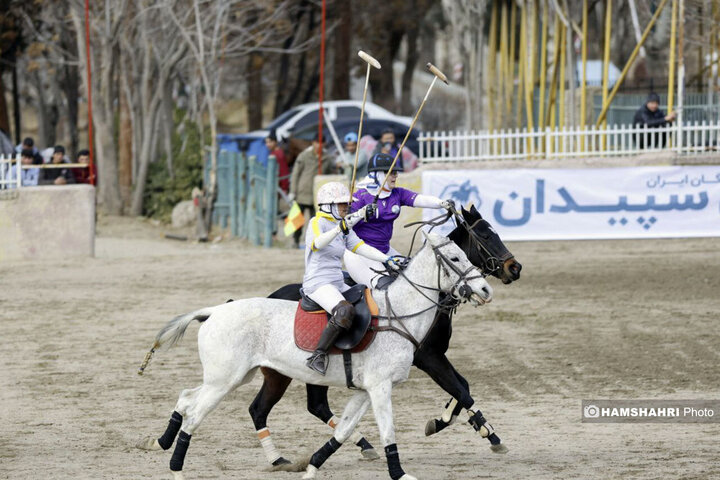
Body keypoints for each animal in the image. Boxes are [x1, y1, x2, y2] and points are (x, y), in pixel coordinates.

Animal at [138, 231, 492, 478]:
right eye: (455, 258)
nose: (486, 290)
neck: (398, 314)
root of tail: (214, 310)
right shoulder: (381, 386)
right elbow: (388, 431)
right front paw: (400, 474)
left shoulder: (366, 390)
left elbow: (343, 430)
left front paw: (311, 467)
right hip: (225, 381)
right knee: (195, 415)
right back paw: (176, 468)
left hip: (235, 376)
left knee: (187, 398)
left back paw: (160, 443)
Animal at [256, 205, 520, 464]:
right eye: (485, 236)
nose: (514, 268)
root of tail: (270, 296)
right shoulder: (428, 358)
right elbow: (462, 392)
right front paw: (485, 432)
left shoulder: (437, 355)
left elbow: (462, 386)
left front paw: (445, 420)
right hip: (287, 372)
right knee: (283, 407)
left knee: (305, 405)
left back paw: (357, 445)